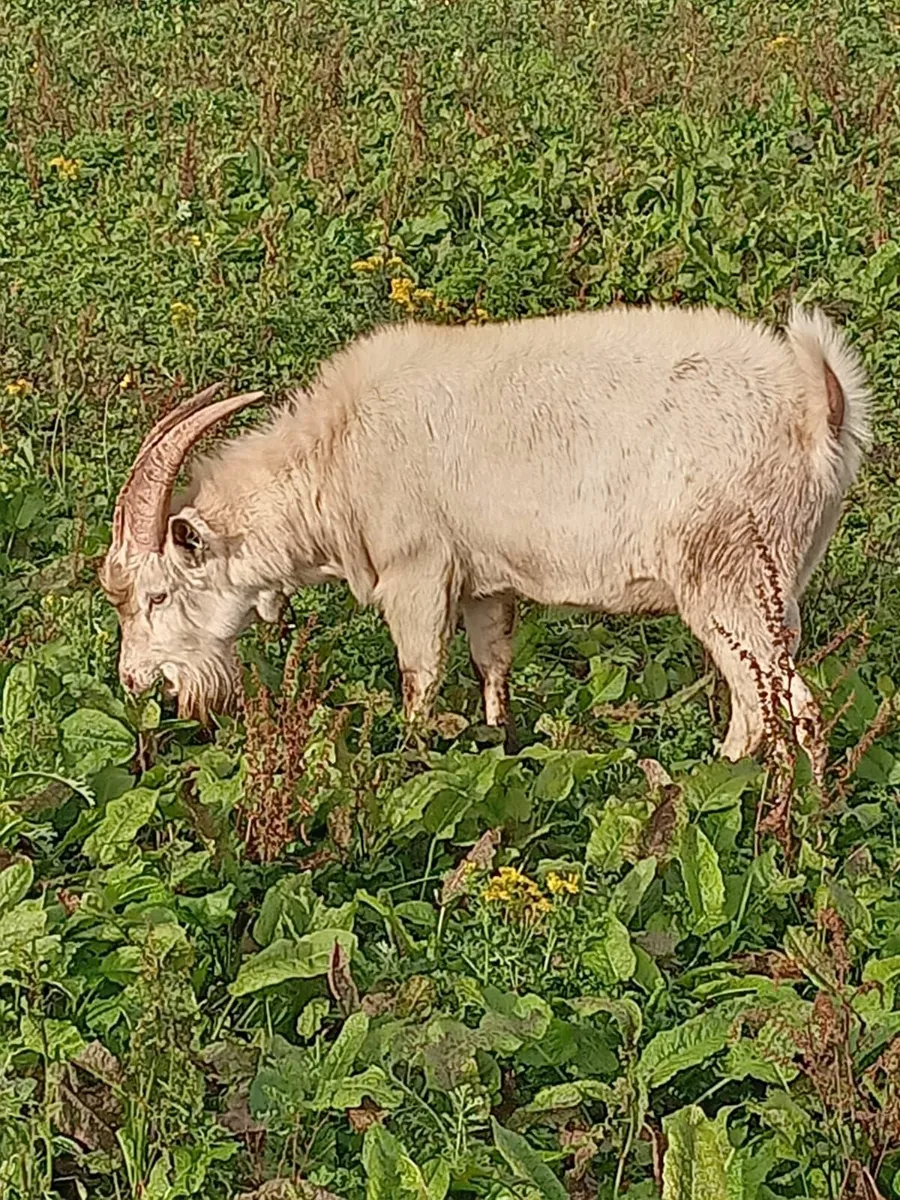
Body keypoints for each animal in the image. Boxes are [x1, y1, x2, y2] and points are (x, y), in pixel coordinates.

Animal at [100, 304, 870, 763]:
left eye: (157, 595)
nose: (136, 683)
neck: (337, 454)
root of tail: (819, 409)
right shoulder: (485, 584)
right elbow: (490, 665)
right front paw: (498, 746)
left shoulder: (417, 572)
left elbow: (420, 677)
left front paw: (411, 760)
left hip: (733, 583)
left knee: (784, 706)